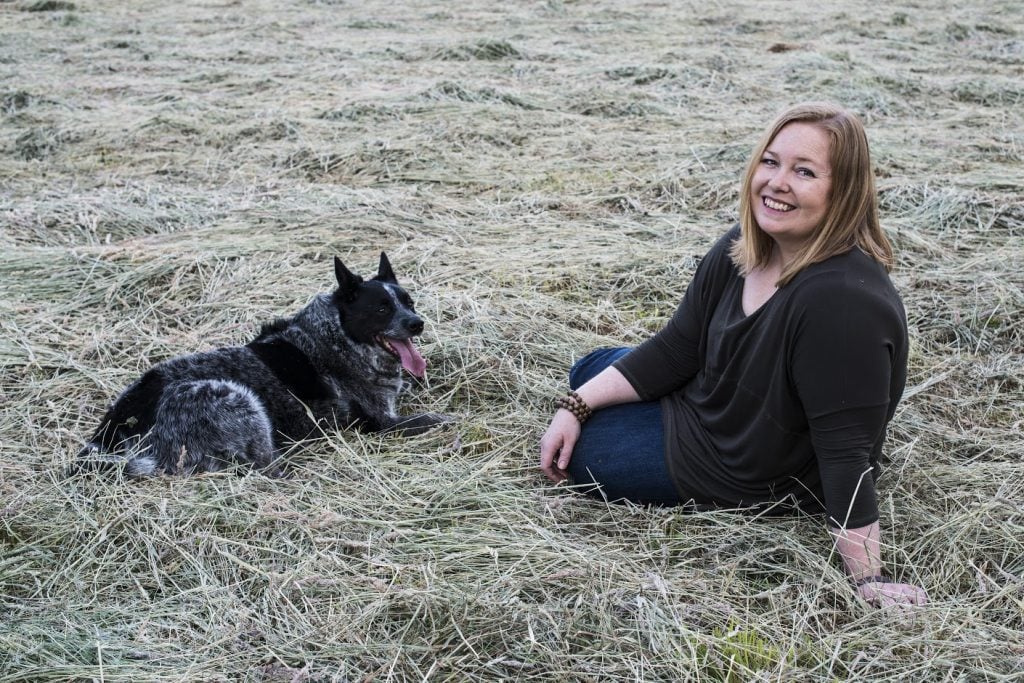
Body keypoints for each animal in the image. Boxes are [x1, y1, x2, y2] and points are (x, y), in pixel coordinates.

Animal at [74, 252, 450, 475]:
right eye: (382, 309)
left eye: (409, 302)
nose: (417, 323)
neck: (337, 336)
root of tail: (114, 429)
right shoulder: (383, 421)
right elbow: (435, 419)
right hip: (238, 399)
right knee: (265, 466)